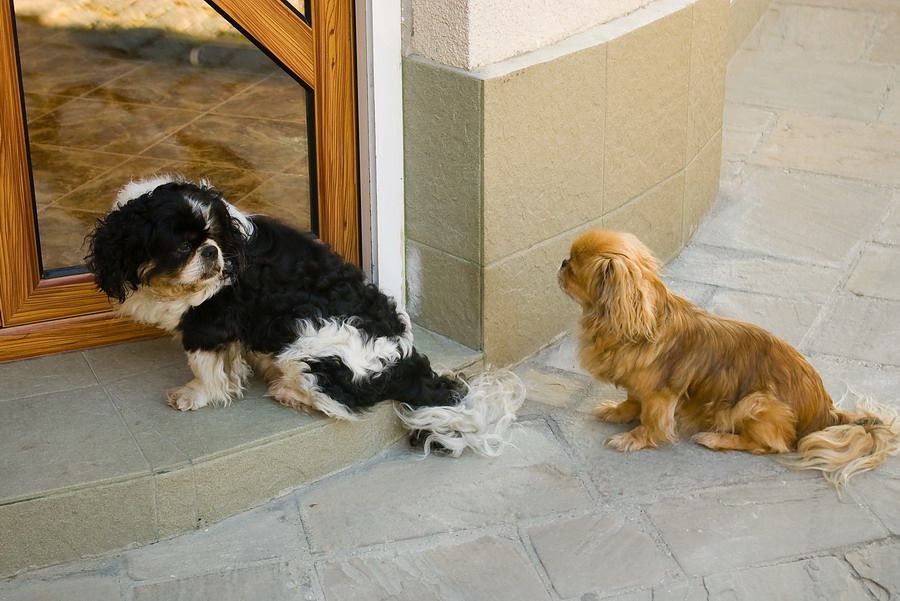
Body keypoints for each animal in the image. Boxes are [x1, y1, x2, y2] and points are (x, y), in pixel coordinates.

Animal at [88, 173, 524, 454]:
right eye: (182, 247)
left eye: (214, 241)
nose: (211, 252)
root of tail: (406, 362)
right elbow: (227, 364)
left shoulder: (208, 322)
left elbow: (204, 368)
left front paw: (194, 395)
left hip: (309, 346)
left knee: (339, 404)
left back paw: (287, 391)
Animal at [560, 230, 900, 488]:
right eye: (569, 259)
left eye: (574, 269)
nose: (561, 262)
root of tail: (826, 415)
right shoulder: (637, 385)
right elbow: (632, 400)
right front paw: (618, 412)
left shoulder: (660, 396)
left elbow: (651, 421)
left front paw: (633, 438)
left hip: (756, 402)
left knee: (770, 445)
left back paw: (715, 439)